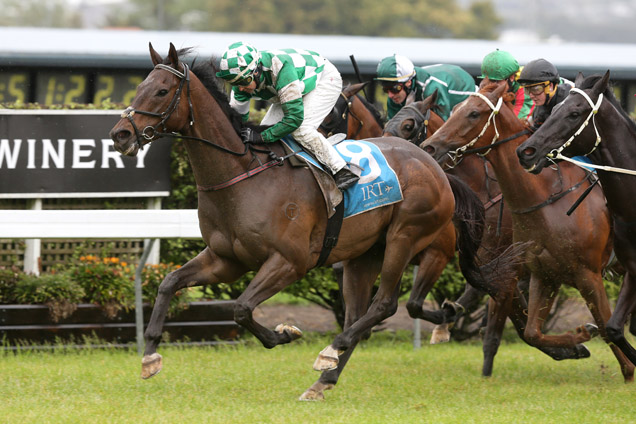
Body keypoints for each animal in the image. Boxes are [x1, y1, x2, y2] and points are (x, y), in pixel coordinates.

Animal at [109, 44, 484, 400]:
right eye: (139, 87)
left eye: (161, 91)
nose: (120, 135)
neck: (242, 176)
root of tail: (431, 162)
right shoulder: (225, 260)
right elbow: (169, 283)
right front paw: (149, 355)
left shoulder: (290, 262)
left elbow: (241, 308)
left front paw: (284, 334)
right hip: (364, 255)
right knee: (357, 316)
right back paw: (324, 378)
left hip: (404, 238)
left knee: (385, 304)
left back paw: (334, 351)